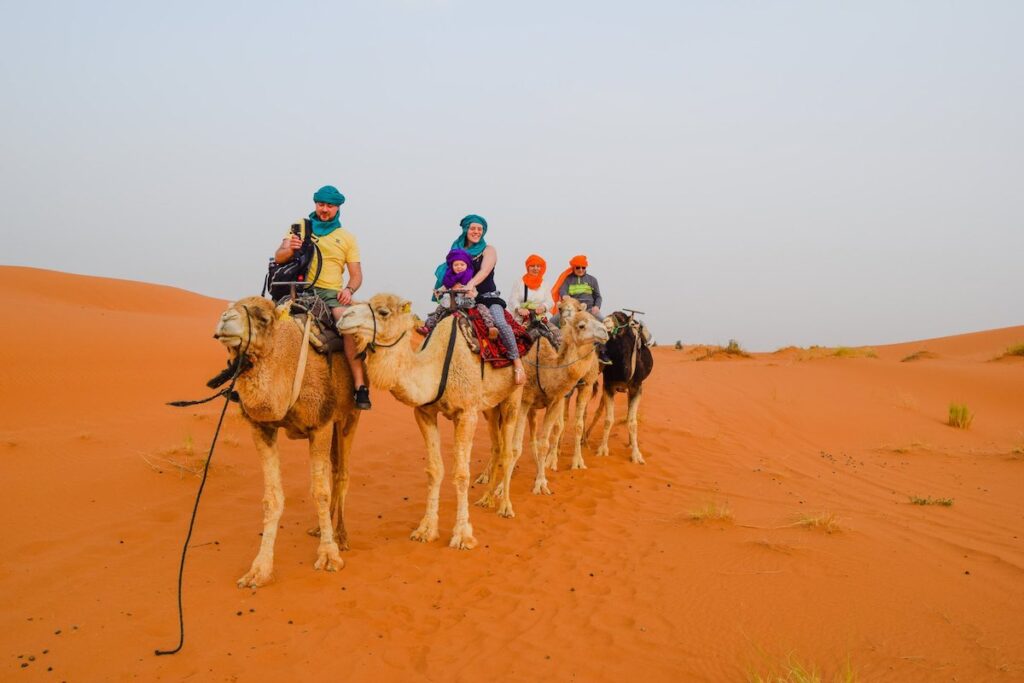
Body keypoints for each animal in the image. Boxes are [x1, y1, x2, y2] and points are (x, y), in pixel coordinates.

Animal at [211, 296, 360, 589]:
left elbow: (321, 491)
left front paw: (329, 556)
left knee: (342, 472)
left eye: (263, 318)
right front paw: (258, 570)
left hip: (348, 417)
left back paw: (342, 536)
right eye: (230, 307)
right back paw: (319, 528)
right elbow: (272, 499)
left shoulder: (320, 423)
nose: (225, 319)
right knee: (333, 468)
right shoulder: (262, 428)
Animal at [339, 294, 524, 548]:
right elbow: (435, 470)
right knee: (497, 447)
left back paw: (505, 506)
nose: (343, 317)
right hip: (491, 406)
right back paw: (486, 499)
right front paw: (426, 529)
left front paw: (462, 535)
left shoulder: (467, 413)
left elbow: (461, 473)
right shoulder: (424, 413)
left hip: (513, 396)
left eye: (383, 312)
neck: (435, 367)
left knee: (507, 452)